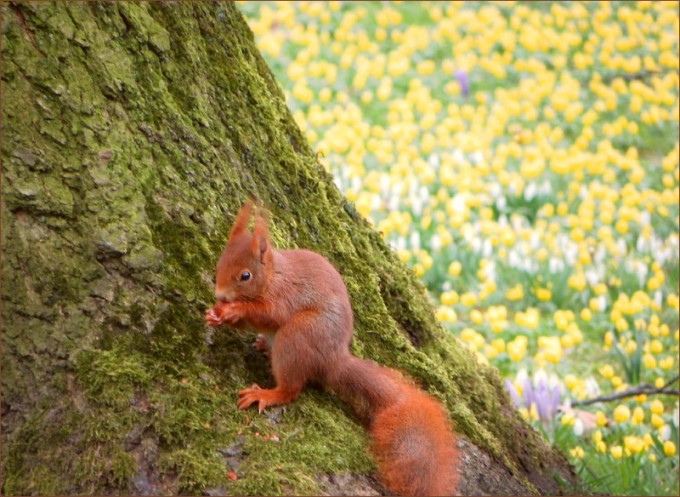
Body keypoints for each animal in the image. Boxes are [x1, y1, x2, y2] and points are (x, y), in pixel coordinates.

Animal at [205, 200, 458, 496]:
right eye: (219, 264)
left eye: (245, 275)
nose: (220, 295)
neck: (273, 277)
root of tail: (333, 362)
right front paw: (215, 315)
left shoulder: (285, 297)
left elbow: (268, 314)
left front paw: (235, 309)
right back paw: (262, 345)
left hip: (298, 337)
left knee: (291, 388)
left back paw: (268, 393)